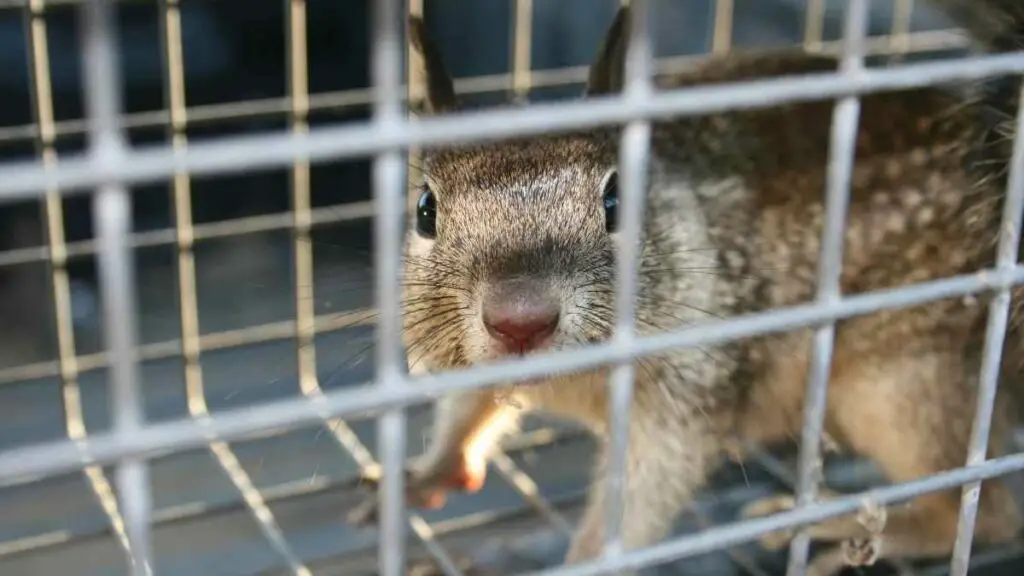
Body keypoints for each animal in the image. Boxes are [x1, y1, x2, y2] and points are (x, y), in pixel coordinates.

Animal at [350, 2, 1024, 569]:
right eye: (425, 210)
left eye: (616, 201)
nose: (521, 318)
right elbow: (465, 409)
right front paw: (429, 470)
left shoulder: (689, 390)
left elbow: (642, 496)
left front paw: (587, 561)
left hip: (906, 384)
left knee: (984, 512)